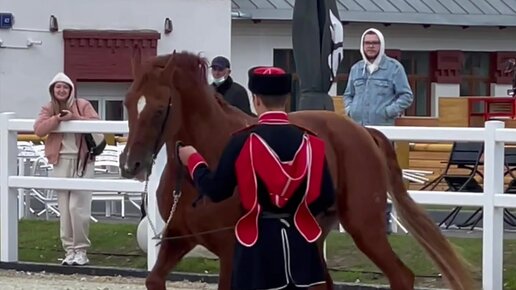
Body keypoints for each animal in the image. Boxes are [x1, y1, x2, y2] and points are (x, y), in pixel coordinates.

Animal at [120, 50, 476, 290]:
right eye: (127, 102)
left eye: (157, 109)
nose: (129, 164)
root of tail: (363, 132)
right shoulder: (177, 238)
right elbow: (154, 279)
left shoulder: (230, 250)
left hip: (365, 227)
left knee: (401, 276)